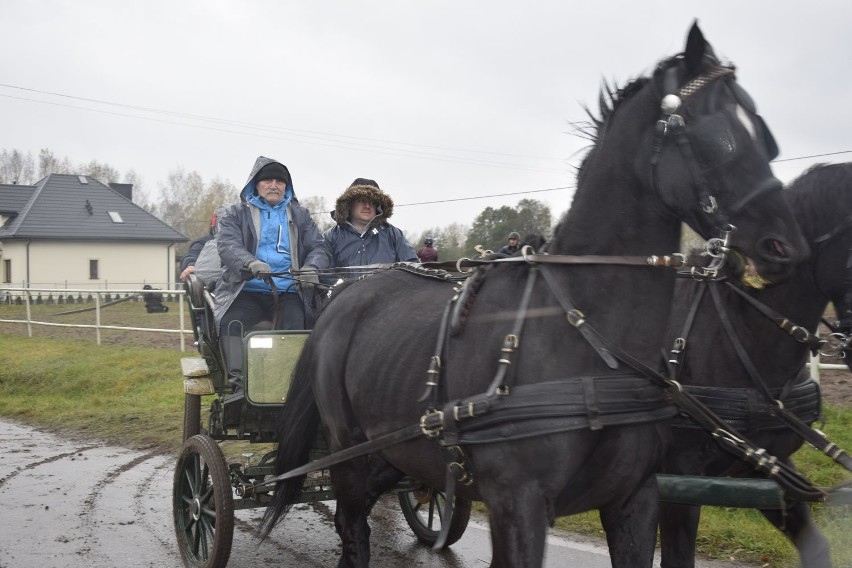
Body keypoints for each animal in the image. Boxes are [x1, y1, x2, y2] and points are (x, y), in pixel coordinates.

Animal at [258, 24, 804, 564]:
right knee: (353, 531)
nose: (785, 245)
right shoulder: (518, 503)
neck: (587, 336)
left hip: (397, 453)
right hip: (349, 454)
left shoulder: (635, 498)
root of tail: (344, 298)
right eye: (715, 132)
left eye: (762, 130)